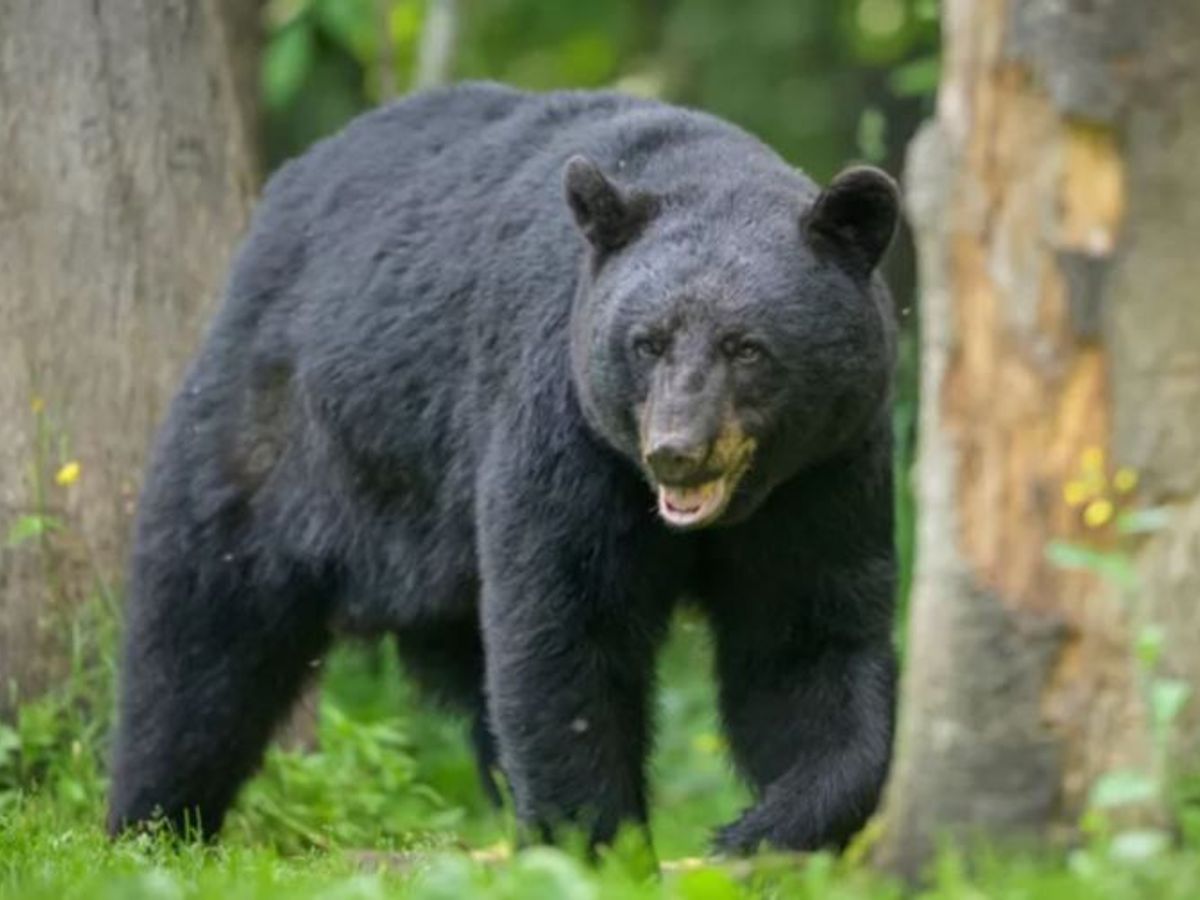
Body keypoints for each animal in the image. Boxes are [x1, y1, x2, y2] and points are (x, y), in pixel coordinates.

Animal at [108, 81, 902, 854]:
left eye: (747, 347)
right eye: (647, 342)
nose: (675, 449)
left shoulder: (824, 474)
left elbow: (806, 641)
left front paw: (764, 830)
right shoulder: (565, 428)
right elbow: (565, 629)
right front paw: (598, 846)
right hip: (275, 436)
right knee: (201, 636)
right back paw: (152, 823)